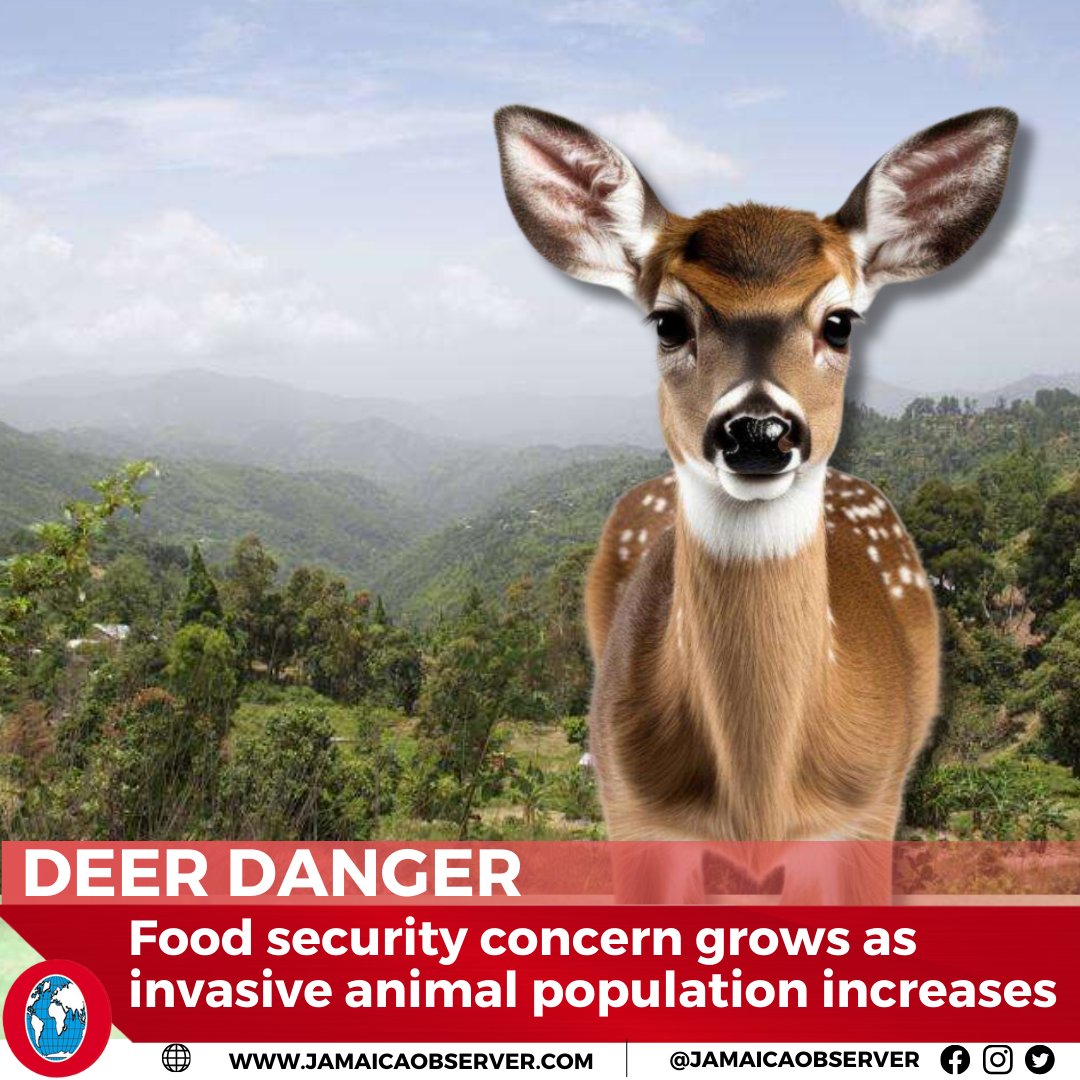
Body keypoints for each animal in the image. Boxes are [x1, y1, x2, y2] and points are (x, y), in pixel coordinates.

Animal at [494, 105, 1018, 902]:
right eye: (668, 322)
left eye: (840, 321)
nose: (759, 432)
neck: (760, 792)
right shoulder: (634, 814)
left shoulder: (868, 813)